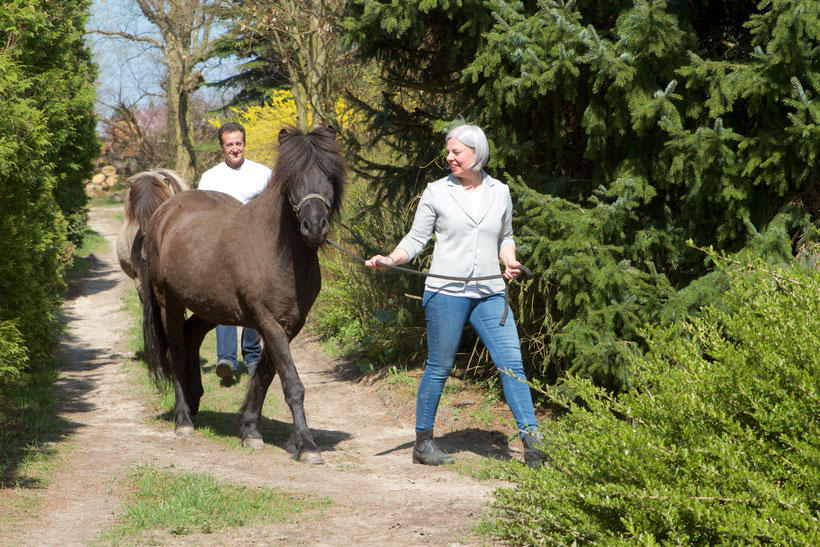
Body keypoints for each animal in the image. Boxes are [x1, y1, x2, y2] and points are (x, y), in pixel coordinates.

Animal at [129, 127, 346, 462]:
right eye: (292, 178)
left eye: (328, 174)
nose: (314, 228)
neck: (278, 252)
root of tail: (161, 215)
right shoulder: (269, 321)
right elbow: (292, 384)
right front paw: (307, 446)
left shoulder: (289, 325)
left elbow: (265, 376)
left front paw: (252, 431)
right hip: (169, 303)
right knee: (175, 351)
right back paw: (183, 419)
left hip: (210, 306)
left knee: (192, 336)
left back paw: (195, 399)